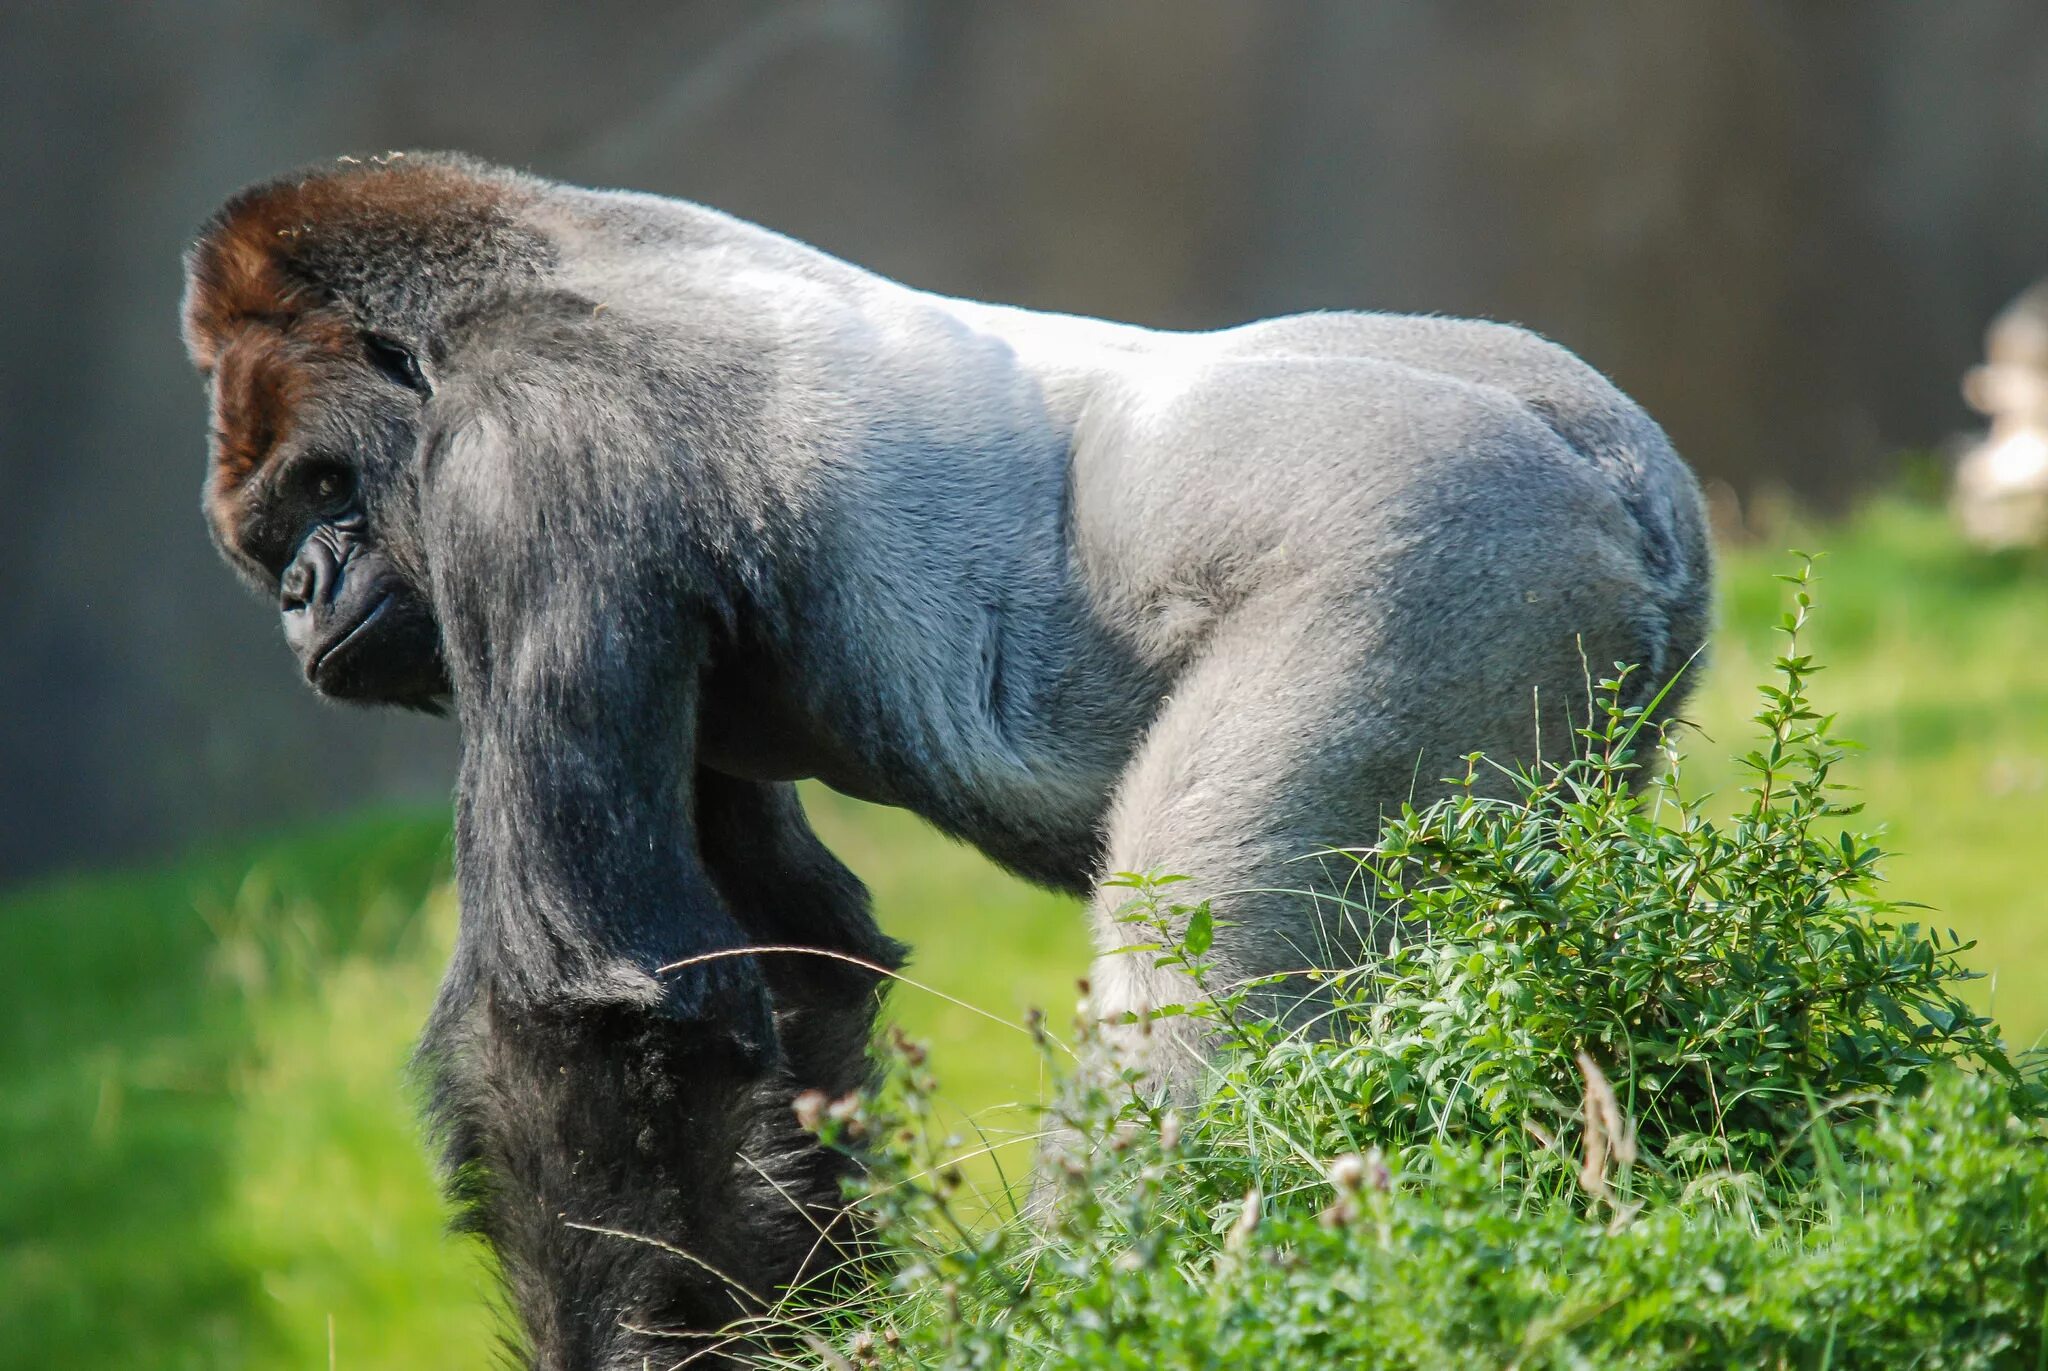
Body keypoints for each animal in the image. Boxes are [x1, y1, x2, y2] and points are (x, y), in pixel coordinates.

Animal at [180, 152, 1712, 1368]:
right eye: (276, 540)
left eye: (324, 486)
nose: (303, 594)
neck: (487, 304)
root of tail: (1621, 469)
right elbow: (785, 963)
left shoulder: (528, 456)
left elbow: (590, 1016)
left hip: (1445, 546)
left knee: (1186, 994)